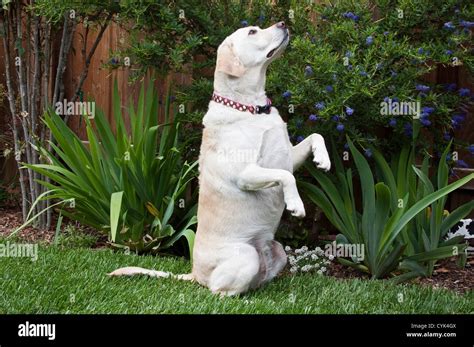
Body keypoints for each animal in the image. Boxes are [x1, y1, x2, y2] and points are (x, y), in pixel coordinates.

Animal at [108, 23, 330, 298]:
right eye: (252, 32)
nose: (282, 24)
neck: (251, 107)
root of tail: (194, 273)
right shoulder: (246, 174)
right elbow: (286, 176)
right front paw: (296, 204)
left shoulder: (288, 156)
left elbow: (315, 136)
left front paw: (323, 160)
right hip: (245, 256)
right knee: (218, 292)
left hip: (278, 252)